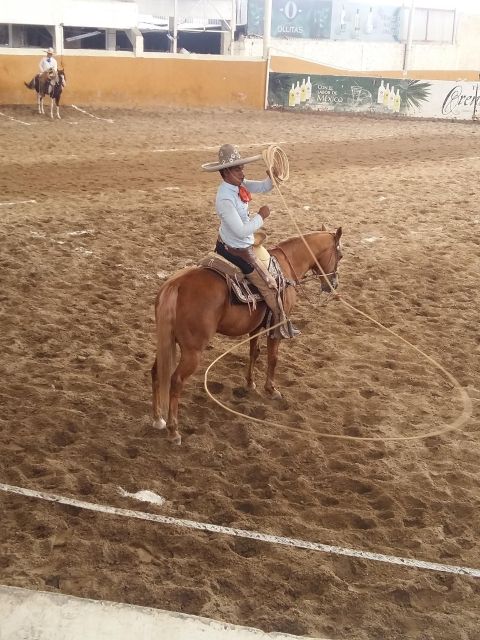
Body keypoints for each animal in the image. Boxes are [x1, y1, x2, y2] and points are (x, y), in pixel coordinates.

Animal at [152, 229, 344, 444]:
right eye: (340, 255)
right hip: (193, 351)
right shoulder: (275, 327)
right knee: (176, 381)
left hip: (167, 342)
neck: (287, 267)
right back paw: (173, 430)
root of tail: (176, 284)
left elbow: (254, 353)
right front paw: (271, 389)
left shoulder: (255, 327)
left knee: (156, 372)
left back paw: (158, 419)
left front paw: (250, 383)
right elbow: (272, 358)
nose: (333, 284)